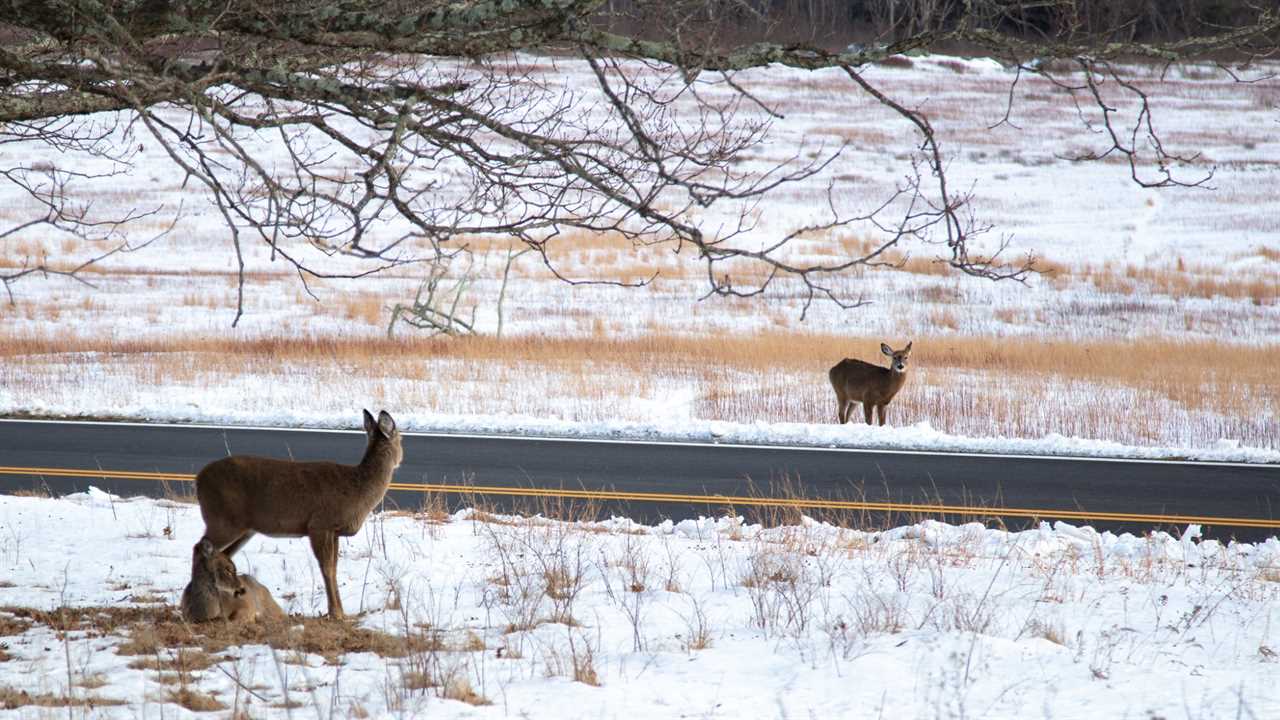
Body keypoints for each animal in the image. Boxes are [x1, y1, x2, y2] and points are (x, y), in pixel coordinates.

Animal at [194, 409, 401, 617]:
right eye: (400, 438)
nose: (400, 459)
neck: (357, 489)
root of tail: (198, 479)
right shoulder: (319, 524)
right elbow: (327, 568)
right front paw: (335, 613)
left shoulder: (334, 530)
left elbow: (334, 568)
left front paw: (340, 612)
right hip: (222, 519)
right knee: (199, 547)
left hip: (243, 528)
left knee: (222, 554)